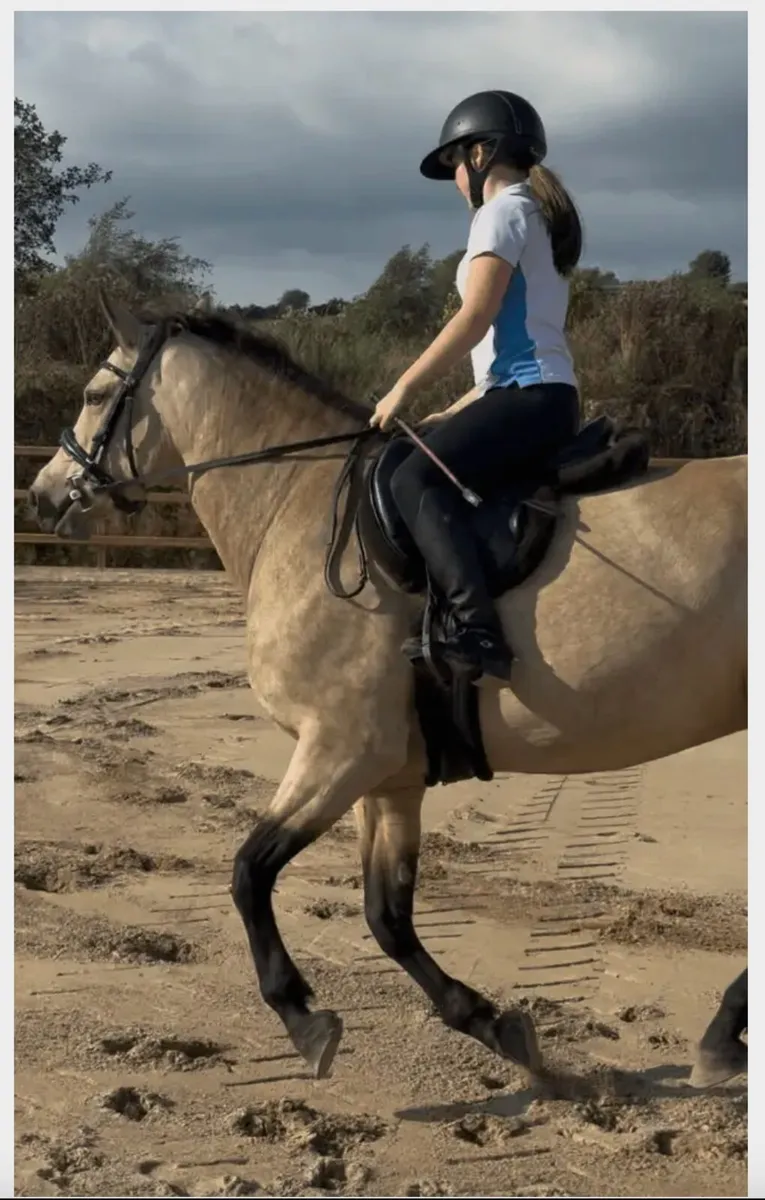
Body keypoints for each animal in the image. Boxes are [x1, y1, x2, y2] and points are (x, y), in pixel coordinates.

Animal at [28, 291, 747, 1086]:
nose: (43, 495)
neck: (296, 504)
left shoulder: (342, 748)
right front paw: (493, 1026)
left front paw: (303, 1019)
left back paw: (723, 1033)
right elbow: (386, 915)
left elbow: (249, 872)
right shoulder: (390, 776)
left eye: (96, 394)